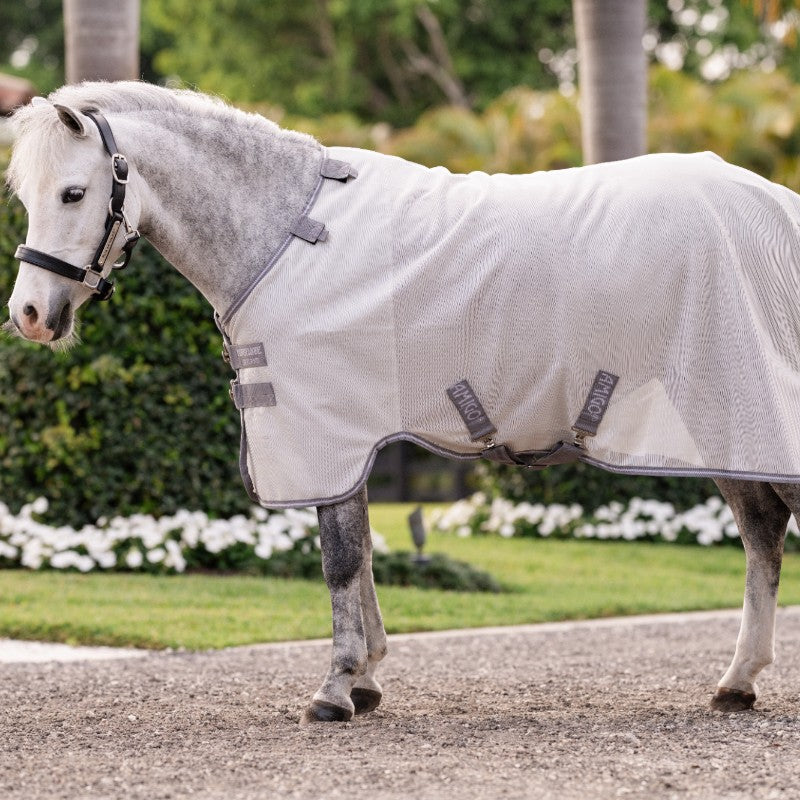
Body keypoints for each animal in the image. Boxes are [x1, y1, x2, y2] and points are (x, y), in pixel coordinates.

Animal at [5, 81, 799, 722]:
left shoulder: (323, 430)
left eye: (73, 192)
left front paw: (333, 690)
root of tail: (778, 207)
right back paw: (737, 683)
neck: (287, 233)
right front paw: (364, 681)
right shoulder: (350, 438)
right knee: (762, 533)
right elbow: (360, 556)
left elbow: (337, 560)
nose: (31, 315)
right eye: (24, 196)